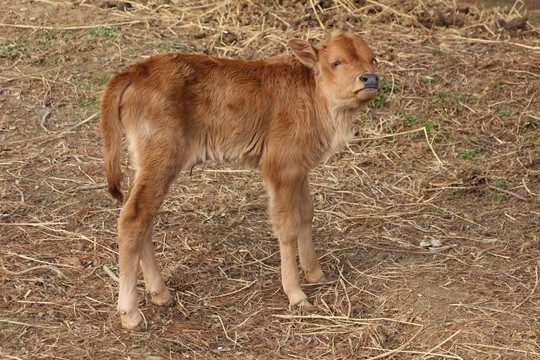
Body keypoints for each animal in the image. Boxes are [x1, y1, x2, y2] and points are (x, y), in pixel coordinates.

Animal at [101, 33, 380, 330]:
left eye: (373, 59)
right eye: (336, 62)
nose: (369, 79)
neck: (313, 92)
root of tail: (137, 69)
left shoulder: (300, 168)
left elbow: (306, 213)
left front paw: (315, 273)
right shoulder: (282, 168)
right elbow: (287, 225)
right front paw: (296, 293)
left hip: (147, 166)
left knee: (143, 217)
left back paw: (161, 293)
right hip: (161, 160)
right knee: (133, 218)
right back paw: (131, 314)